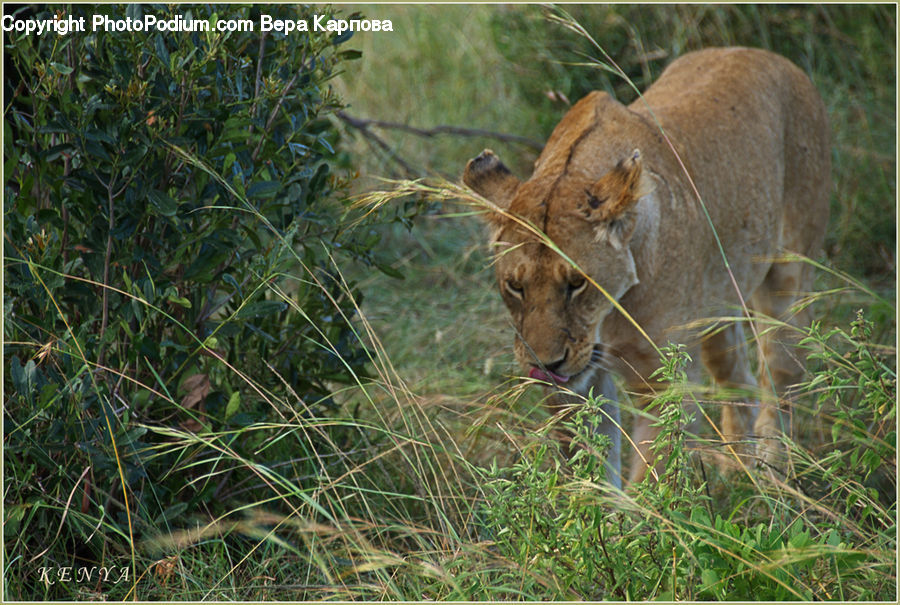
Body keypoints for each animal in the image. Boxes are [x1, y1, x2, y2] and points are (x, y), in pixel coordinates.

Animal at [463, 47, 830, 486]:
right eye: (515, 286)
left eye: (577, 283)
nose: (545, 366)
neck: (610, 317)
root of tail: (767, 55)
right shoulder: (576, 388)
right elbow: (592, 472)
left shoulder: (664, 383)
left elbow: (653, 477)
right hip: (716, 308)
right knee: (736, 377)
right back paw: (733, 472)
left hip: (788, 277)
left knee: (781, 375)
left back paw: (772, 472)